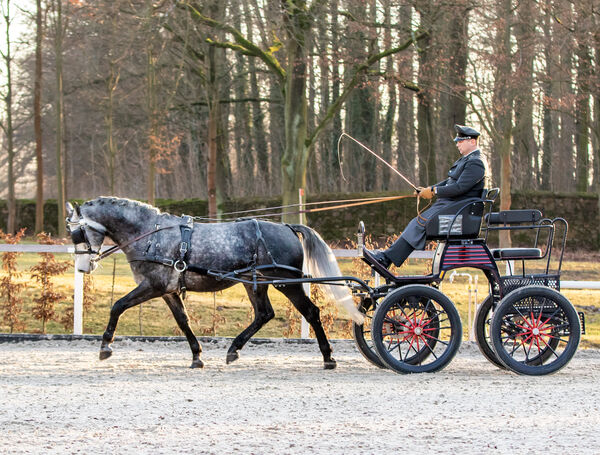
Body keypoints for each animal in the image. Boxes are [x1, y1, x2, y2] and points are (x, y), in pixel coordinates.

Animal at [65, 198, 360, 368]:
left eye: (76, 232)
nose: (83, 267)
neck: (149, 234)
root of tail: (287, 227)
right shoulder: (168, 290)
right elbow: (183, 320)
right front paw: (197, 356)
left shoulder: (153, 286)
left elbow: (118, 305)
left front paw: (105, 346)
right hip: (255, 282)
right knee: (264, 314)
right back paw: (233, 350)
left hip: (287, 282)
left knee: (310, 312)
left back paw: (328, 357)